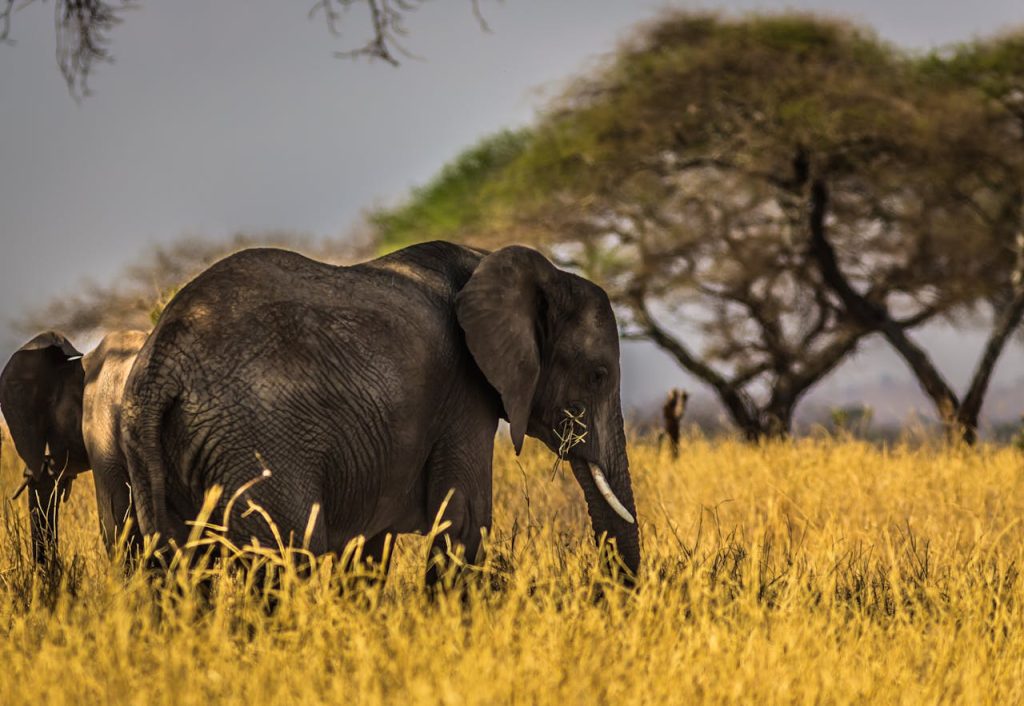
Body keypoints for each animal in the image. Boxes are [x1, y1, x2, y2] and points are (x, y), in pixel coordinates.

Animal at [121, 242, 640, 584]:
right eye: (598, 375)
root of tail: (163, 361)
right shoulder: (464, 393)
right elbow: (465, 519)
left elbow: (369, 545)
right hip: (255, 442)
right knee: (288, 559)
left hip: (155, 452)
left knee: (173, 566)